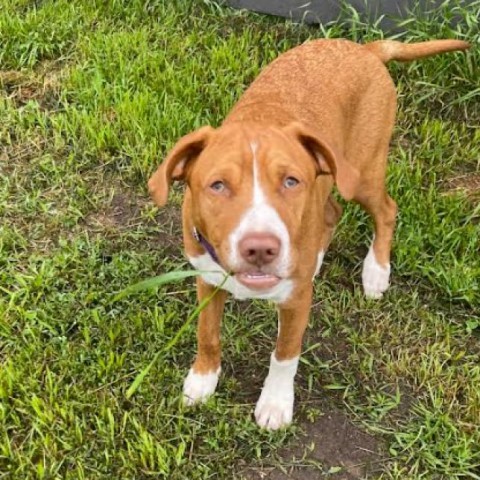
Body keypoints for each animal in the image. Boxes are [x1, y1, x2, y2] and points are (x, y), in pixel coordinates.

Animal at [147, 36, 468, 428]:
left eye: (290, 181)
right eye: (218, 185)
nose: (260, 249)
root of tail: (365, 49)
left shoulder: (296, 302)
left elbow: (285, 354)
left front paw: (275, 403)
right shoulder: (207, 278)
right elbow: (207, 333)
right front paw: (203, 379)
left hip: (362, 172)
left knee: (386, 210)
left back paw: (376, 272)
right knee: (332, 213)